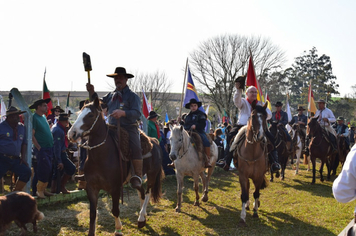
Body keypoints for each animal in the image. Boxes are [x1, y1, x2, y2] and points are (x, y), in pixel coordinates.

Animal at [67, 97, 163, 236]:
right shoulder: (91, 188)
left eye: (91, 115)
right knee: (141, 192)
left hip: (152, 175)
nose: (72, 133)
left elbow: (115, 210)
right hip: (136, 179)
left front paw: (118, 230)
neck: (101, 156)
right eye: (79, 113)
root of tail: (154, 142)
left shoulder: (115, 188)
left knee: (147, 193)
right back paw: (142, 216)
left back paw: (141, 218)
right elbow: (92, 213)